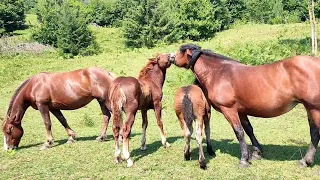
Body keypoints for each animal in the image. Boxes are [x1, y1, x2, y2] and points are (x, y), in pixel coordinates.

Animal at [170, 44, 320, 168]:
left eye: (180, 50)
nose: (171, 57)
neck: (219, 72)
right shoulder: (241, 111)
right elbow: (248, 130)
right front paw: (256, 153)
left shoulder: (229, 110)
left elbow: (239, 132)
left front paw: (243, 160)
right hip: (310, 109)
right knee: (314, 133)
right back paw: (305, 161)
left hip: (314, 109)